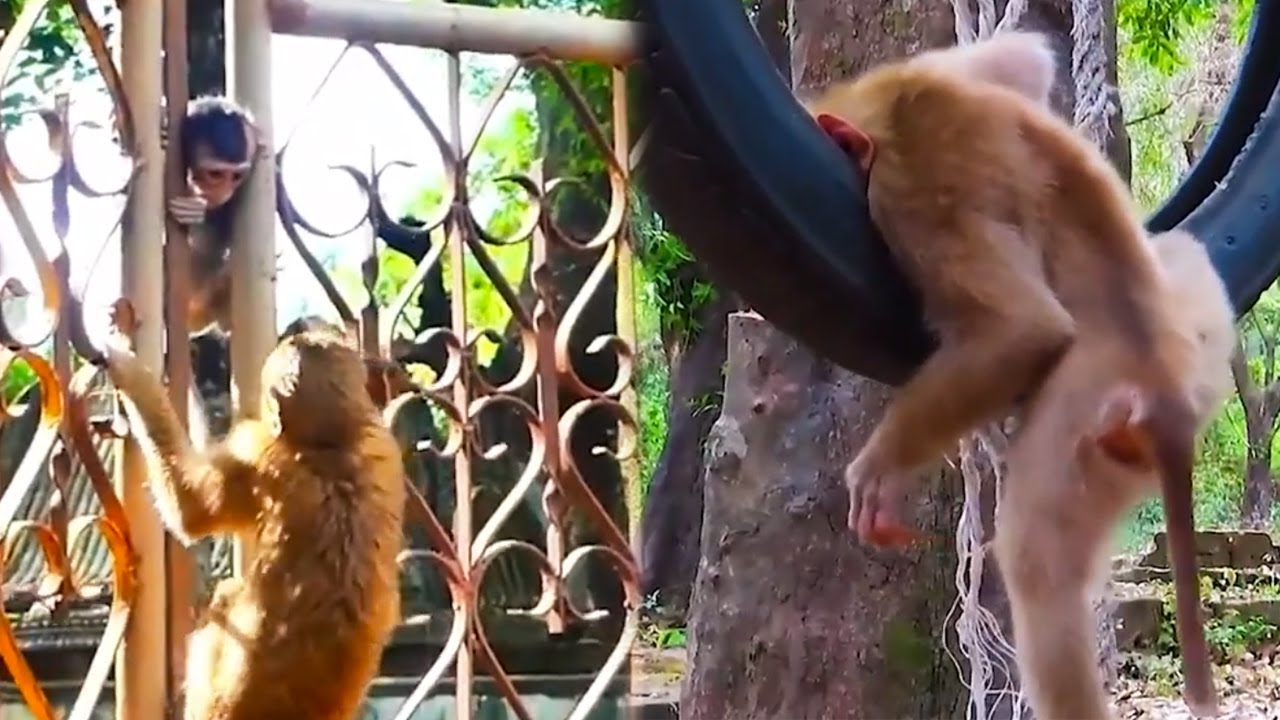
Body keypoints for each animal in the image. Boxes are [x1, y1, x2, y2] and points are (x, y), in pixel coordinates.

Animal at [100, 318, 406, 720]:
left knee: (225, 598)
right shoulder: (384, 446)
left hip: (214, 699)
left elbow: (190, 511)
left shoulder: (256, 453)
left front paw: (135, 375)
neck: (332, 444)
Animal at [803, 33, 1216, 714]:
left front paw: (880, 470)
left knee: (1036, 563)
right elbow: (1025, 59)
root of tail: (1163, 383)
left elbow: (1023, 330)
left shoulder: (905, 189)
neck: (884, 108)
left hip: (1087, 404)